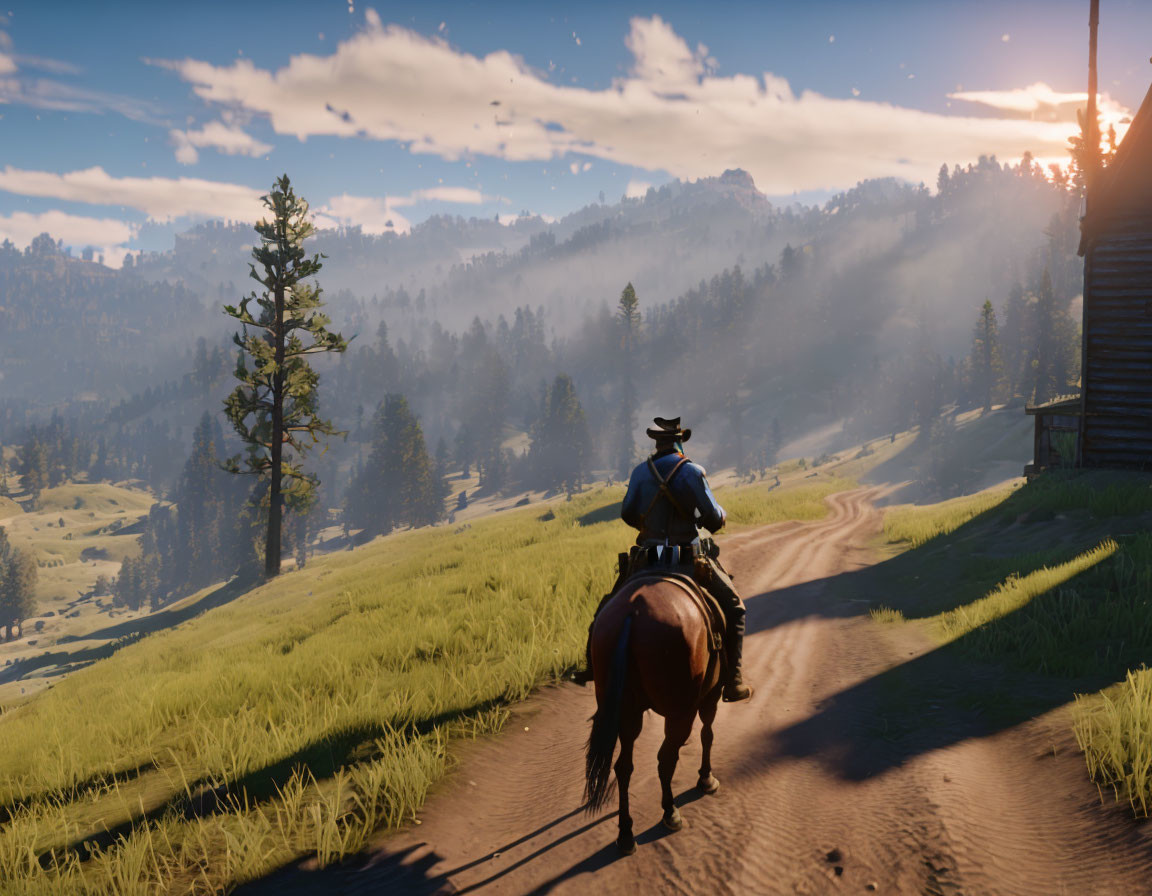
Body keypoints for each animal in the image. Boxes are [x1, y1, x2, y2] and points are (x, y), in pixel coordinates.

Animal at [580, 573, 723, 852]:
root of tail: (632, 614)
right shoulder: (711, 693)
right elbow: (708, 734)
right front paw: (706, 778)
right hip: (680, 710)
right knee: (666, 758)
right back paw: (670, 811)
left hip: (626, 711)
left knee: (623, 767)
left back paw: (626, 833)